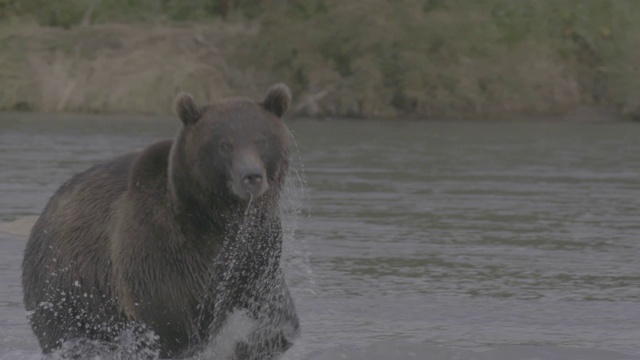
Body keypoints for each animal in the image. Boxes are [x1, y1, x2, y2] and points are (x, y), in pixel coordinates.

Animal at [20, 83, 300, 358]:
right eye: (225, 144)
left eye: (261, 140)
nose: (251, 176)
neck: (218, 216)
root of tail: (43, 214)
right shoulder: (161, 248)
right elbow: (171, 324)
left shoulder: (254, 249)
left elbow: (275, 306)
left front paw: (249, 344)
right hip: (65, 282)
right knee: (67, 333)